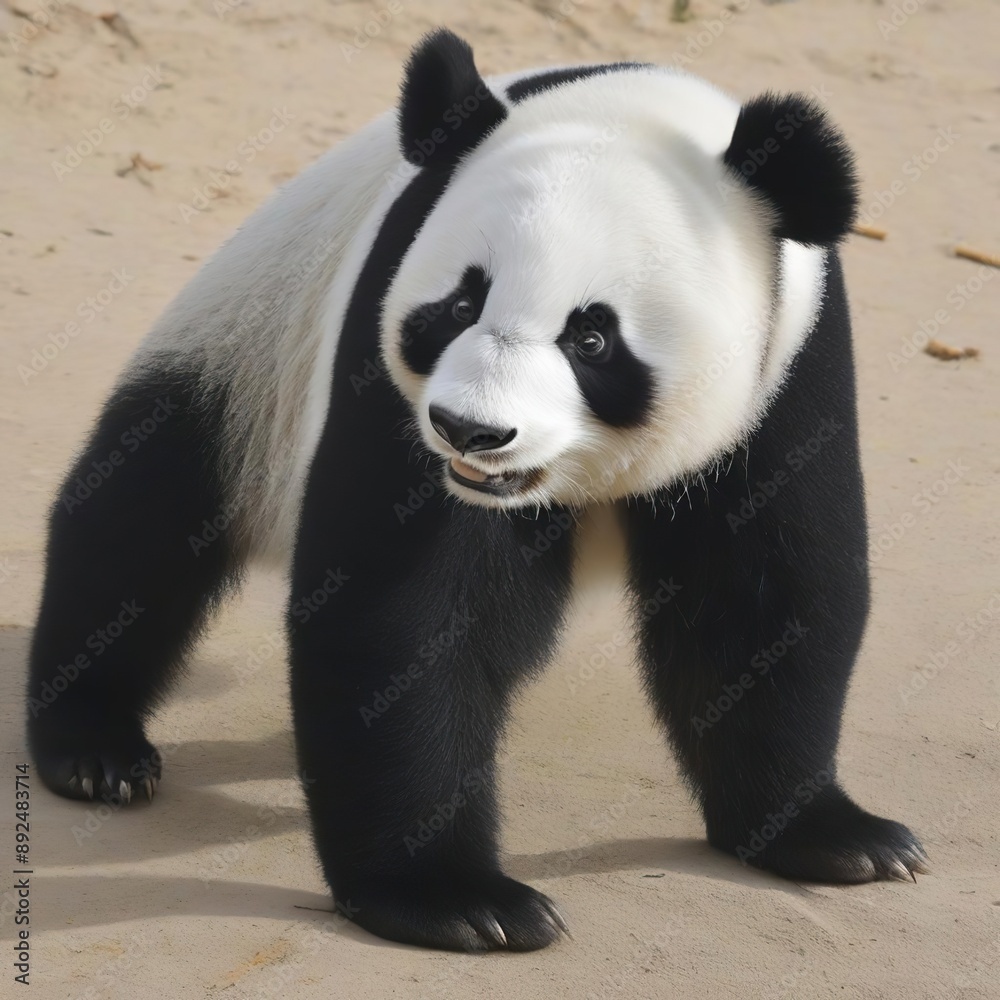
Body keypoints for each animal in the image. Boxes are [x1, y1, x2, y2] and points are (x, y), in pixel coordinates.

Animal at [27, 29, 928, 952]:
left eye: (592, 336)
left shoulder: (788, 369)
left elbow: (761, 595)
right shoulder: (384, 344)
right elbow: (405, 611)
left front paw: (829, 836)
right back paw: (95, 748)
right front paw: (455, 897)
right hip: (248, 351)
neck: (636, 112)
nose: (470, 431)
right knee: (141, 519)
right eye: (461, 304)